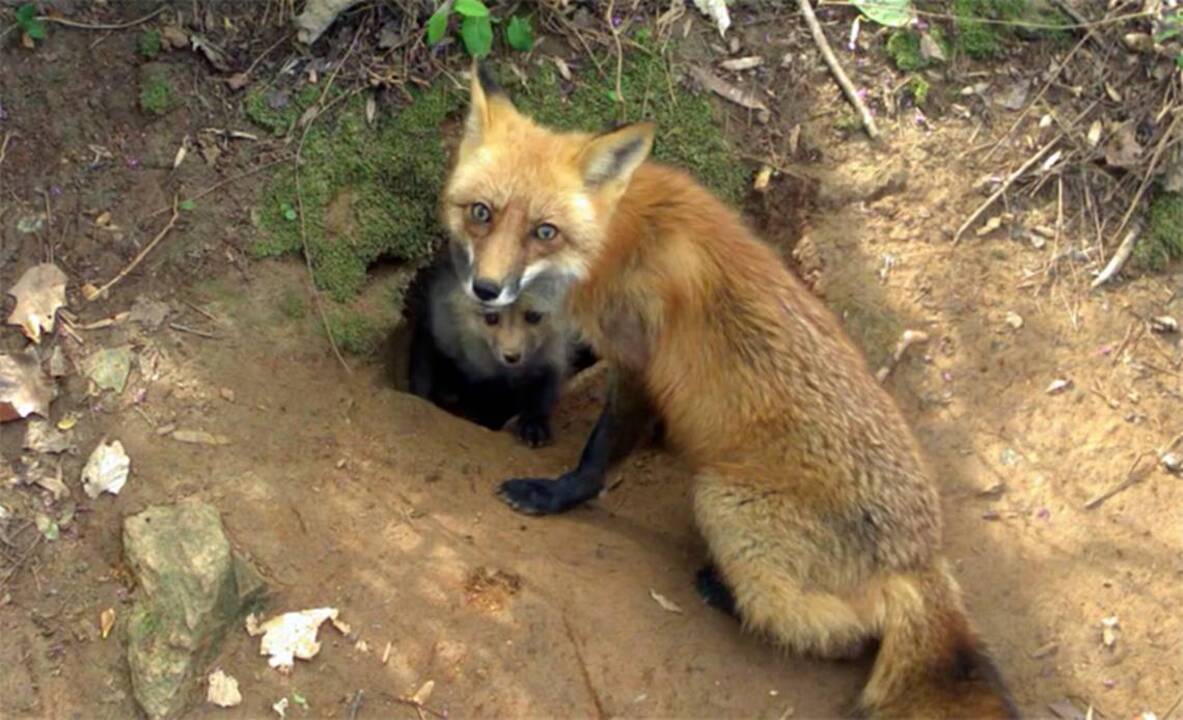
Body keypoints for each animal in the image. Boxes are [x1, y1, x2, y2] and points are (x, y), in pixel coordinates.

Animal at [405, 252, 582, 447]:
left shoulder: (552, 355)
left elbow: (542, 392)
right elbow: (422, 379)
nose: (512, 356)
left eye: (533, 316)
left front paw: (534, 426)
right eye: (491, 318)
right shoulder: (437, 329)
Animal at [441, 63, 1019, 719]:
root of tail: (922, 558)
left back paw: (724, 590)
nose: (487, 288)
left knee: (841, 633)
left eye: (545, 231)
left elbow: (597, 455)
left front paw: (557, 494)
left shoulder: (639, 362)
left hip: (721, 499)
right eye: (481, 212)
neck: (619, 240)